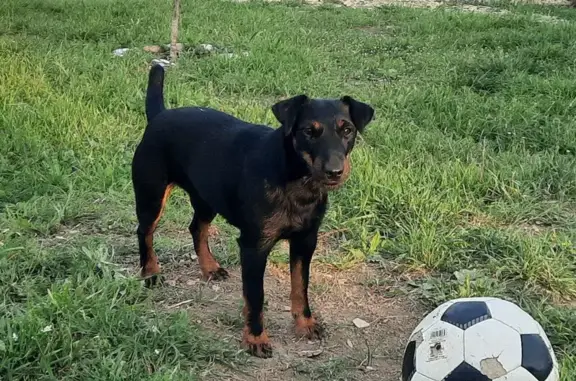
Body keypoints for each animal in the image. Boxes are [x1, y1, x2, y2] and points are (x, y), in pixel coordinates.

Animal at [130, 63, 374, 358]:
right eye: (308, 131)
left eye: (347, 130)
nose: (335, 172)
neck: (296, 181)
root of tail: (159, 115)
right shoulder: (254, 246)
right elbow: (256, 296)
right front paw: (256, 338)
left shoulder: (306, 241)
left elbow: (300, 286)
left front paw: (305, 324)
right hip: (152, 195)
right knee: (145, 231)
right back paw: (151, 273)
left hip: (205, 196)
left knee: (196, 227)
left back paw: (210, 267)